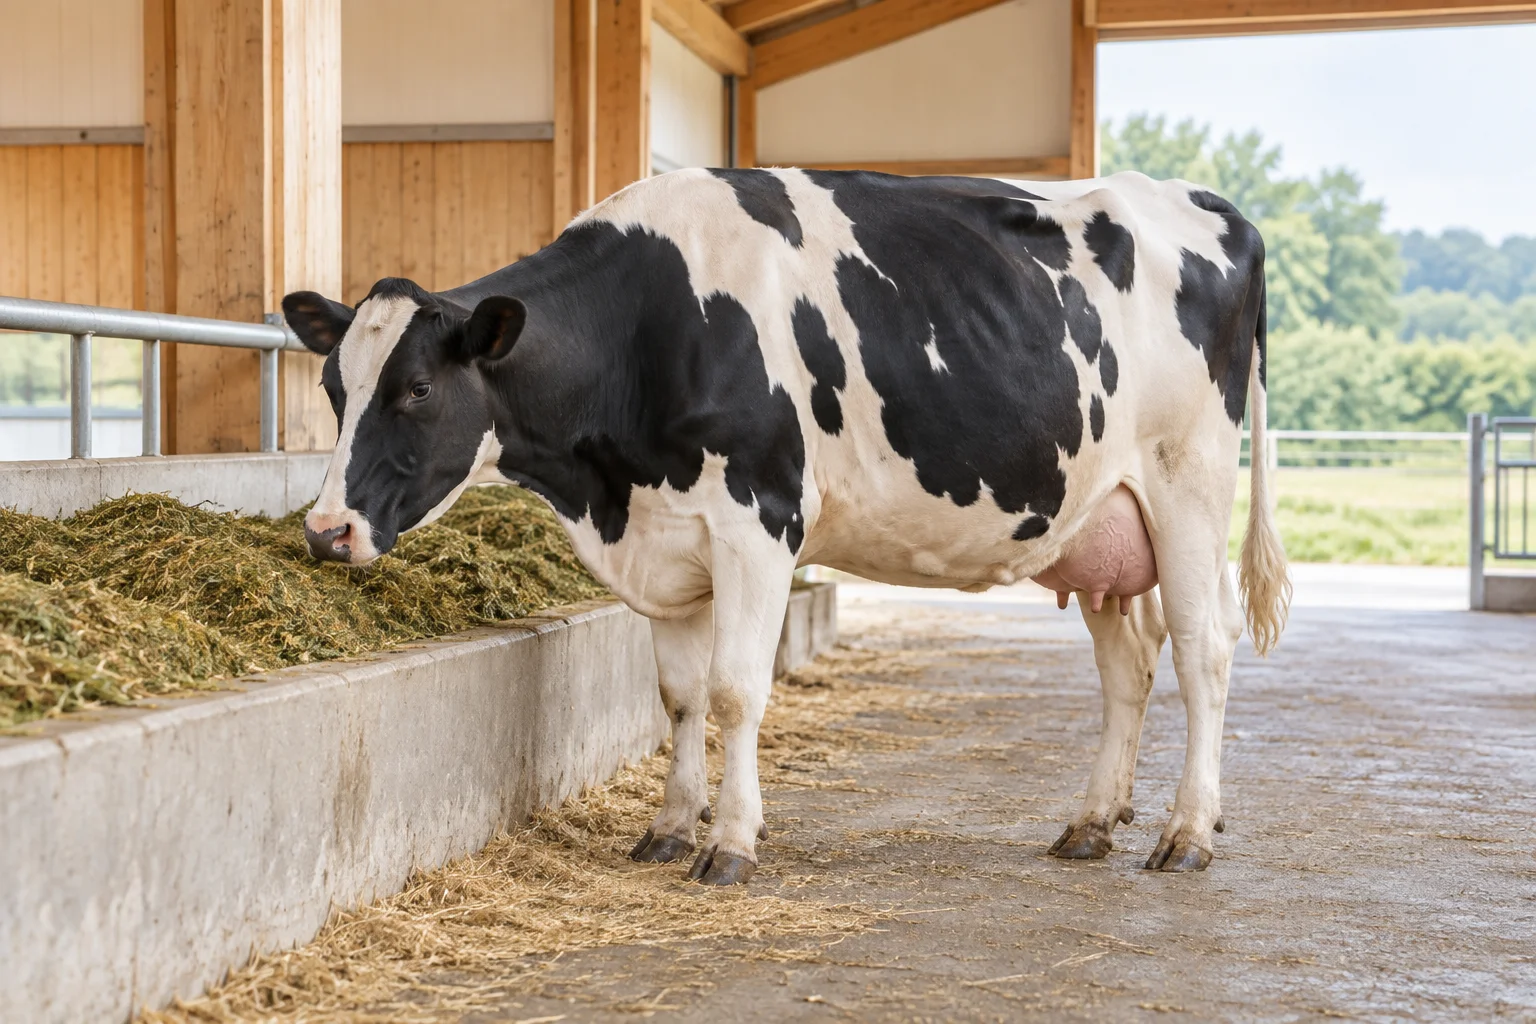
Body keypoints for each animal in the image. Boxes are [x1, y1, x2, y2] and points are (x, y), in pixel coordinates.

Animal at [282, 168, 1291, 885]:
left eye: (418, 389)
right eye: (332, 385)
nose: (326, 531)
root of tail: (1216, 207)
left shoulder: (757, 522)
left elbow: (735, 692)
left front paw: (729, 843)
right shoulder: (667, 536)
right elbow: (678, 696)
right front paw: (666, 827)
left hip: (1189, 484)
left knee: (1204, 653)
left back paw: (1186, 833)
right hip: (1101, 523)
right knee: (1130, 667)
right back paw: (1089, 823)